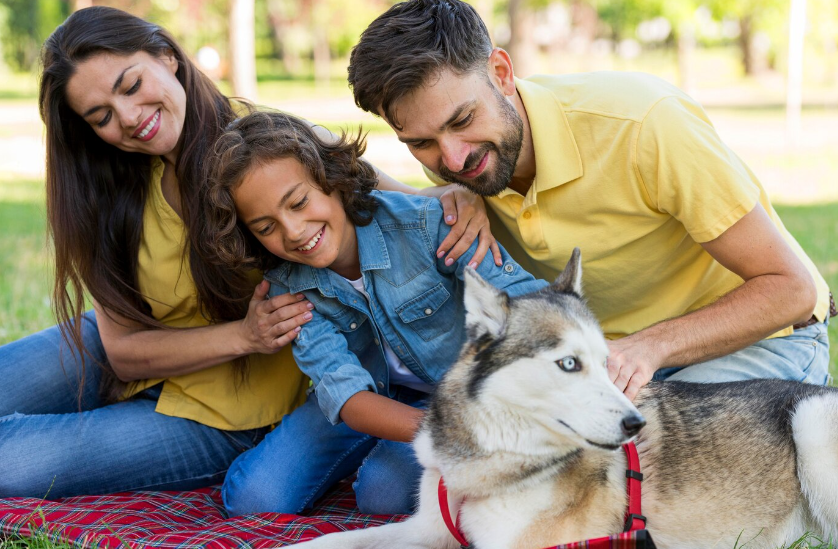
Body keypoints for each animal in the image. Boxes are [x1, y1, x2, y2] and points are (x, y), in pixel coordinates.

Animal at [294, 249, 838, 548]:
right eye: (570, 364)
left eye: (605, 361)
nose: (636, 425)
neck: (493, 461)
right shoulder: (428, 530)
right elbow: (332, 539)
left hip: (810, 421)